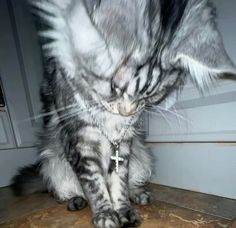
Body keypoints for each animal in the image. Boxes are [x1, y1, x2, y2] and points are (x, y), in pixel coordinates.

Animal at [12, 0, 235, 228]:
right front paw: (105, 214)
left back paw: (139, 195)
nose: (126, 112)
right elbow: (95, 187)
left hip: (143, 156)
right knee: (62, 192)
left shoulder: (122, 146)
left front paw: (123, 210)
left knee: (133, 182)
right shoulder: (80, 143)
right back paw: (76, 200)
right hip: (51, 164)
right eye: (113, 86)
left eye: (150, 95)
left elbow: (119, 184)